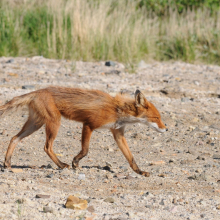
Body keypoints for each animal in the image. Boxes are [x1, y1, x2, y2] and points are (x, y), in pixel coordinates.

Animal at [0, 86, 167, 177]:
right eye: (156, 118)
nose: (166, 129)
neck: (117, 110)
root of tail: (38, 91)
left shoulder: (118, 133)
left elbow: (131, 158)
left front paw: (140, 172)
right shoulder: (89, 125)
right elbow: (85, 150)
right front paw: (75, 162)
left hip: (36, 124)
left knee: (14, 138)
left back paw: (7, 163)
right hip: (54, 123)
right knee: (47, 147)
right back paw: (62, 165)